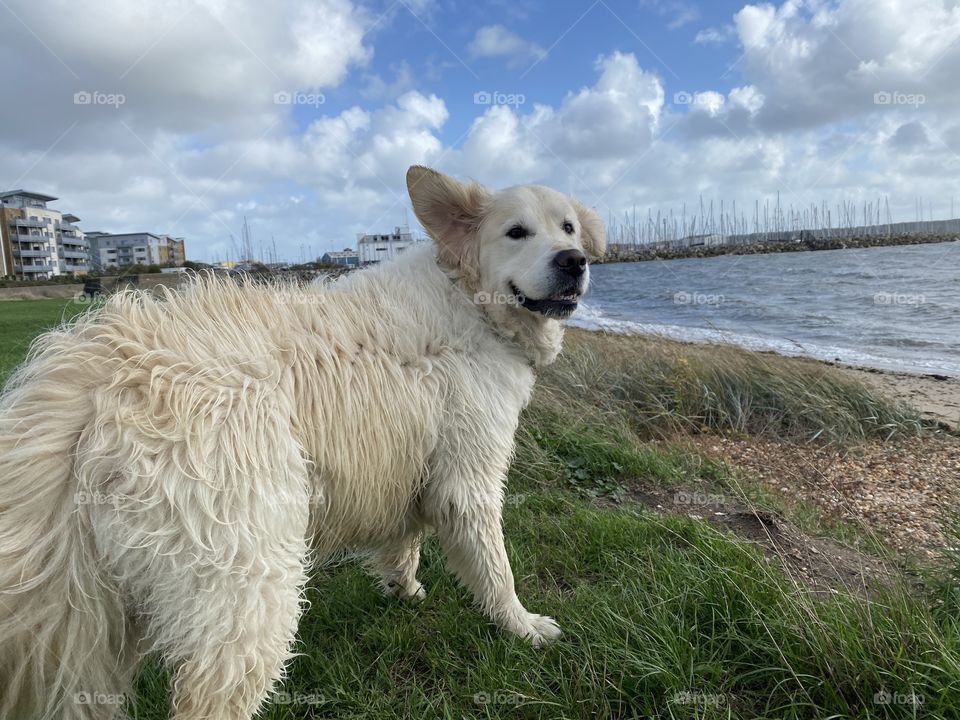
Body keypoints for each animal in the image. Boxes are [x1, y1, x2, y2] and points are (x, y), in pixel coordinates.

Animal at [0, 166, 604, 716]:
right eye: (516, 232)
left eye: (569, 228)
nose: (574, 261)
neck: (469, 300)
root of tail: (100, 380)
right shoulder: (469, 476)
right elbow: (495, 569)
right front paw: (523, 626)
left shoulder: (410, 462)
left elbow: (405, 538)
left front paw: (404, 589)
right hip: (250, 586)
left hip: (104, 620)